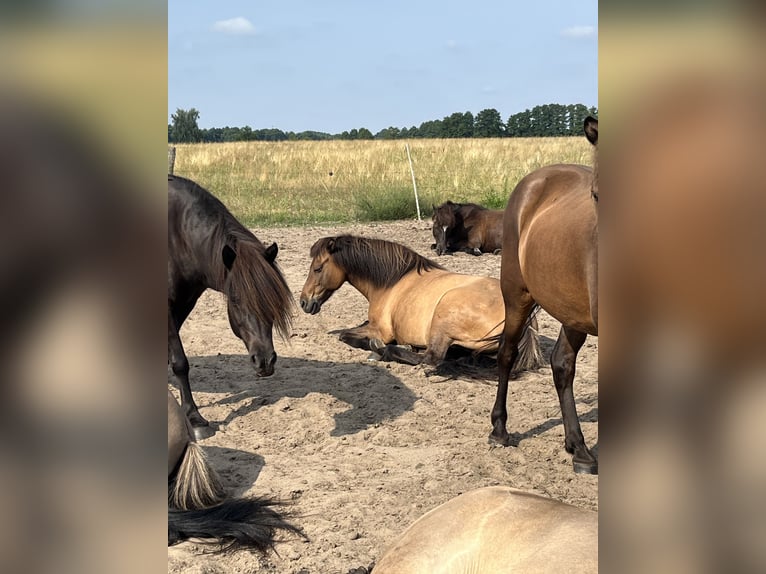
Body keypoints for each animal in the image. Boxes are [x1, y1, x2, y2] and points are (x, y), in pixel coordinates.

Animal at [168, 175, 293, 436]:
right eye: (236, 299)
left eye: (271, 300)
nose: (265, 361)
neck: (176, 235)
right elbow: (180, 362)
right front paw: (195, 418)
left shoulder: (185, 302)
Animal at [299, 234, 541, 369]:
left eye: (317, 268)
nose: (303, 302)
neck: (391, 281)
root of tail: (527, 323)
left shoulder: (380, 330)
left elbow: (345, 335)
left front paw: (376, 347)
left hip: (443, 316)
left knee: (431, 359)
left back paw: (386, 351)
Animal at [490, 117, 599, 474]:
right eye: (597, 194)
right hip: (517, 295)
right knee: (507, 353)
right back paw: (499, 430)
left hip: (572, 311)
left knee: (562, 363)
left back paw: (578, 447)